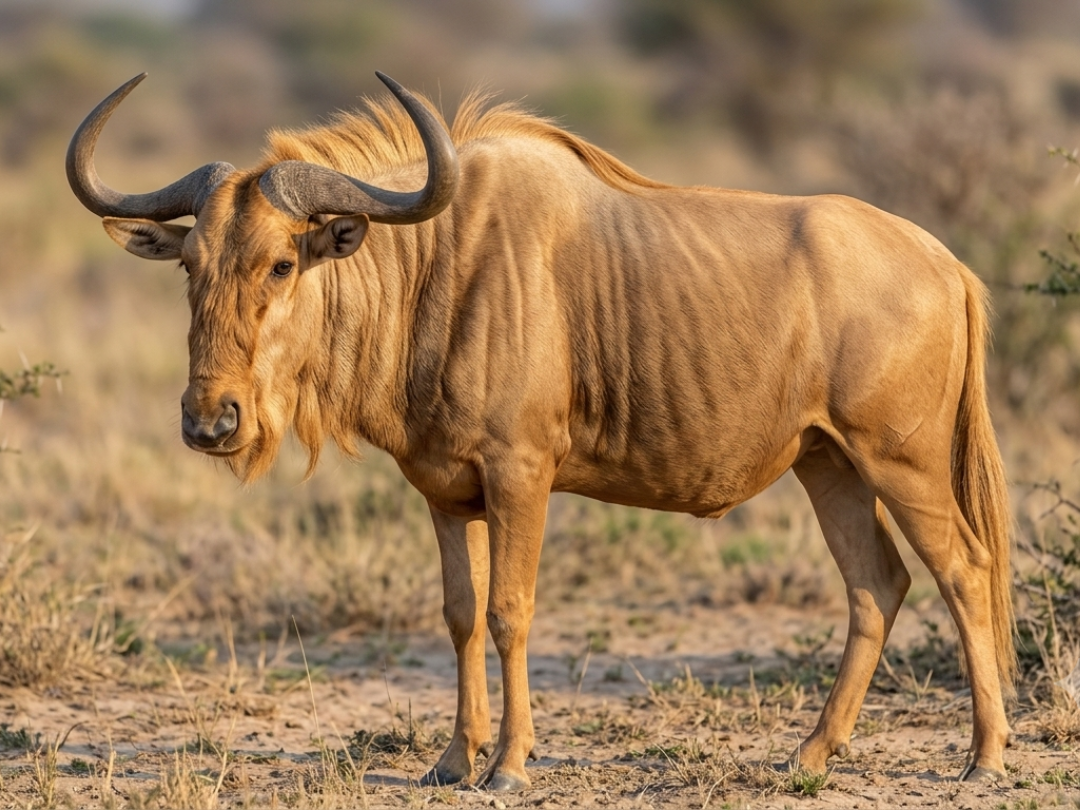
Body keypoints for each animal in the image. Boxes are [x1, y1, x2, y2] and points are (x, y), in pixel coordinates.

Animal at [68, 72, 1014, 790]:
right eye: (191, 266)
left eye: (280, 263)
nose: (210, 421)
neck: (435, 269)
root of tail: (946, 260)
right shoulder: (445, 492)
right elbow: (458, 614)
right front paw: (454, 760)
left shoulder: (522, 476)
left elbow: (510, 611)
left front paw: (511, 765)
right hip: (829, 465)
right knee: (876, 586)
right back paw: (810, 755)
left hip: (903, 463)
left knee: (964, 571)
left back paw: (983, 757)